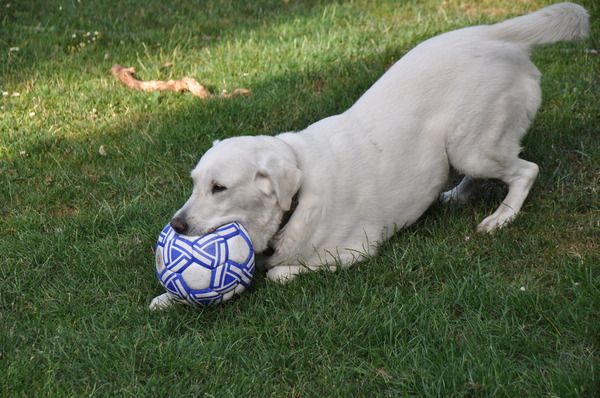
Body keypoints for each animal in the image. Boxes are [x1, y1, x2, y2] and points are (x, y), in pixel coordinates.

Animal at [166, 3, 588, 282]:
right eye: (194, 183)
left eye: (219, 188)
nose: (176, 225)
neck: (296, 199)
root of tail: (493, 32)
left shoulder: (355, 251)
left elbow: (280, 274)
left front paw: (279, 272)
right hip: (464, 149)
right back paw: (457, 195)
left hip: (471, 147)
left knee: (526, 170)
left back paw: (503, 216)